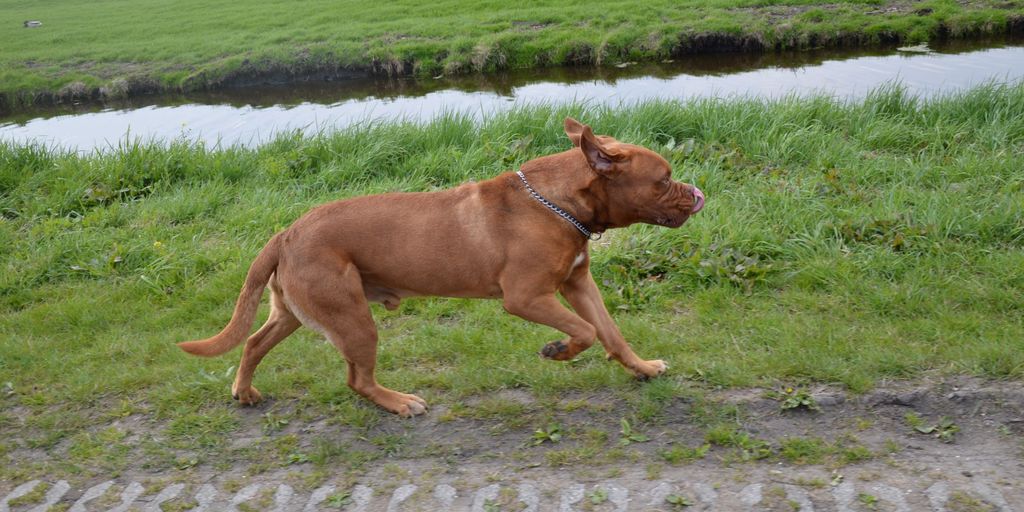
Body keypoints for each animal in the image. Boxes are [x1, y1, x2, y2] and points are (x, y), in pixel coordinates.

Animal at [178, 118, 704, 415]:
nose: (697, 194)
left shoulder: (578, 284)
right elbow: (586, 331)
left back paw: (244, 391)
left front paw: (641, 368)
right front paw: (559, 350)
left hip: (295, 312)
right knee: (357, 379)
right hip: (353, 320)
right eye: (663, 180)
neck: (560, 201)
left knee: (252, 343)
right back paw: (398, 403)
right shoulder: (528, 298)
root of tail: (286, 233)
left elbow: (610, 332)